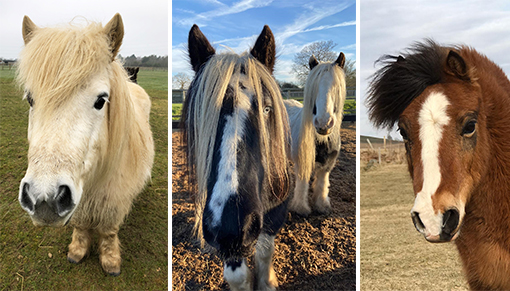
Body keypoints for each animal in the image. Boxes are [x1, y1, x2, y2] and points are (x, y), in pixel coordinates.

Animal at [16, 14, 154, 278]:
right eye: (30, 99)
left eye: (101, 100)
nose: (44, 199)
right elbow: (80, 225)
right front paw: (77, 251)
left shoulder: (115, 199)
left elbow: (109, 230)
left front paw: (111, 260)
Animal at [284, 53, 348, 217]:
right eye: (315, 88)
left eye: (336, 88)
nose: (323, 122)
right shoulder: (302, 162)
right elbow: (302, 184)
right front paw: (300, 208)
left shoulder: (327, 165)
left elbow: (322, 185)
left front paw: (322, 206)